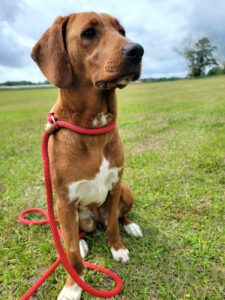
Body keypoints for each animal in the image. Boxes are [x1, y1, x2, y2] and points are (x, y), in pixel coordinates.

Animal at [31, 11, 143, 300]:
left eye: (122, 31)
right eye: (89, 33)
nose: (137, 50)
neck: (92, 127)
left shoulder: (115, 186)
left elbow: (113, 225)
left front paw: (118, 248)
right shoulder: (65, 200)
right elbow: (70, 253)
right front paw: (73, 287)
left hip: (126, 190)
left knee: (117, 217)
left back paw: (130, 225)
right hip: (59, 209)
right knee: (74, 235)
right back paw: (82, 241)